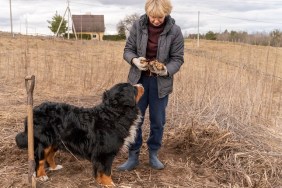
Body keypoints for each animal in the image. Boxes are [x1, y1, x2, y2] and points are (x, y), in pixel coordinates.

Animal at [15, 82, 143, 187]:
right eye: (133, 88)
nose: (141, 84)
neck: (113, 114)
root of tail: (33, 110)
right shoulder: (105, 153)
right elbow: (106, 171)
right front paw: (109, 184)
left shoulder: (99, 154)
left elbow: (99, 171)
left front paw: (100, 182)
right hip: (44, 142)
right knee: (40, 159)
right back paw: (41, 175)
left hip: (56, 141)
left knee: (49, 156)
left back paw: (54, 167)